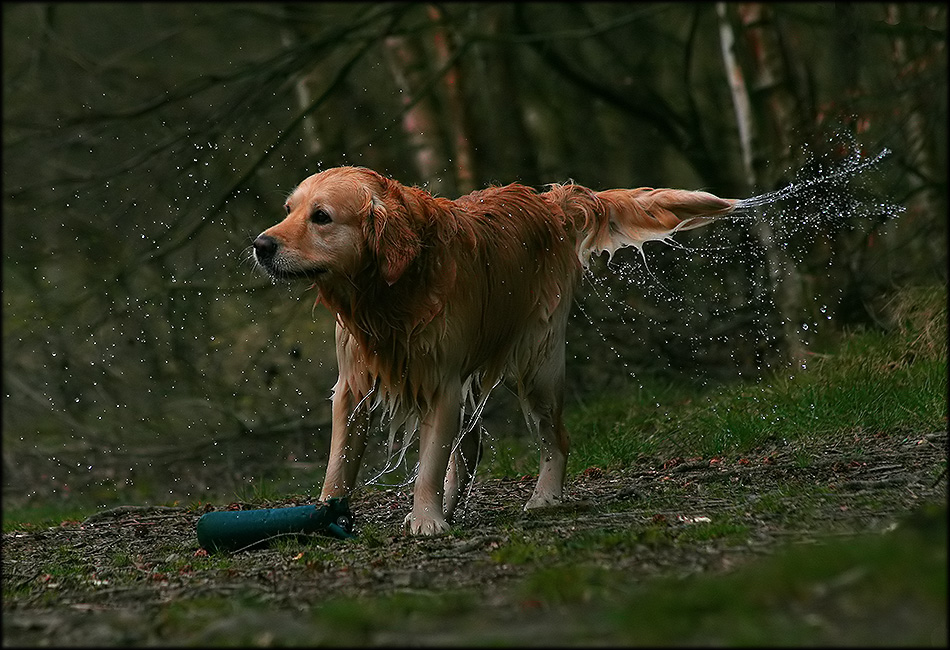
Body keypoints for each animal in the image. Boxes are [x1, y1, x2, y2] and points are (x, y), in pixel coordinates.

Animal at [253, 166, 736, 532]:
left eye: (321, 216)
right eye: (289, 210)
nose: (260, 246)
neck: (389, 295)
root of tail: (549, 201)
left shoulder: (441, 386)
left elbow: (429, 464)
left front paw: (426, 520)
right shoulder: (352, 387)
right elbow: (339, 466)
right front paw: (323, 515)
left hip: (538, 368)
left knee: (555, 438)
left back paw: (544, 496)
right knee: (469, 450)